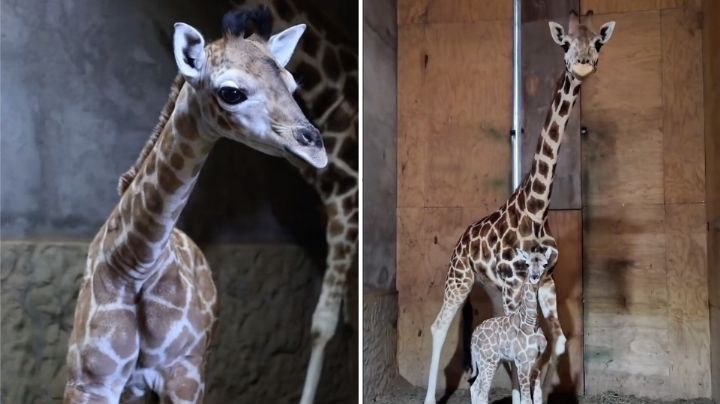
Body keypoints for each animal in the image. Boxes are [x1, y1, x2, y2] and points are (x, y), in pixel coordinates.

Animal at [63, 8, 329, 403]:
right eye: (231, 92)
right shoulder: (90, 381)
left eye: (292, 85)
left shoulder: (185, 375)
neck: (134, 264)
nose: (315, 149)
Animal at [469, 248, 551, 404]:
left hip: (491, 361)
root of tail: (473, 337)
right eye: (527, 264)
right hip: (488, 361)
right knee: (482, 394)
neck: (530, 322)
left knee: (474, 387)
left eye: (544, 264)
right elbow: (526, 400)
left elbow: (538, 398)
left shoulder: (537, 364)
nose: (534, 277)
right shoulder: (522, 363)